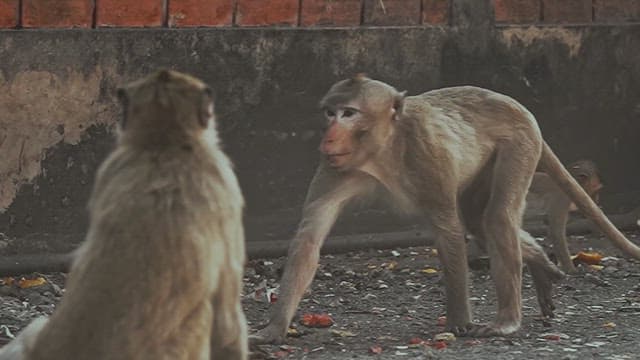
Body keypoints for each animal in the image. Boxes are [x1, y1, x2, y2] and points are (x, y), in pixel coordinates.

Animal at [250, 74, 640, 342]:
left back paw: (507, 320)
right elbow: (309, 241)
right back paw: (542, 268)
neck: (383, 150)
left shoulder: (427, 154)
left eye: (349, 113)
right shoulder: (335, 167)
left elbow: (448, 229)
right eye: (330, 113)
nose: (328, 135)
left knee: (495, 218)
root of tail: (515, 104)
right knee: (481, 224)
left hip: (520, 143)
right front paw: (274, 328)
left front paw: (458, 322)